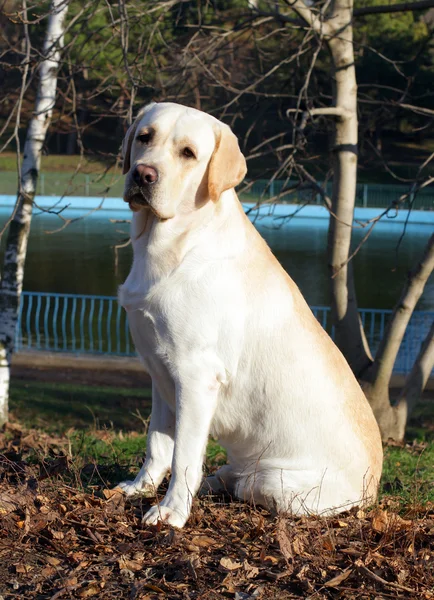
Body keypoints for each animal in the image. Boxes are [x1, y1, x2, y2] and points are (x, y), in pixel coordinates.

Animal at [116, 104, 384, 528]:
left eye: (188, 153)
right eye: (145, 137)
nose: (143, 174)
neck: (168, 244)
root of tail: (372, 491)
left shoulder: (195, 376)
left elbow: (183, 455)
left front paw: (171, 511)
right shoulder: (160, 371)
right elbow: (157, 443)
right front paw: (140, 488)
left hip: (274, 478)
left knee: (245, 482)